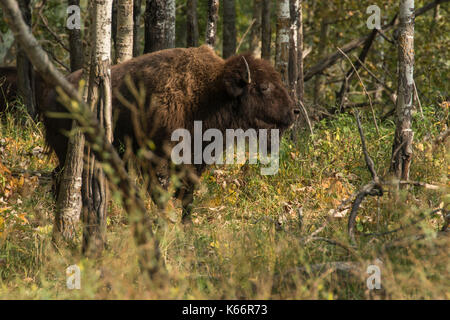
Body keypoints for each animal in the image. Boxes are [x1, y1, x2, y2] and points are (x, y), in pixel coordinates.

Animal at [41, 45, 298, 222]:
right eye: (264, 87)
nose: (294, 111)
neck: (209, 92)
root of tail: (51, 93)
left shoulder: (197, 159)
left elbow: (187, 194)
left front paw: (186, 224)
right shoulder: (158, 158)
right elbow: (162, 190)